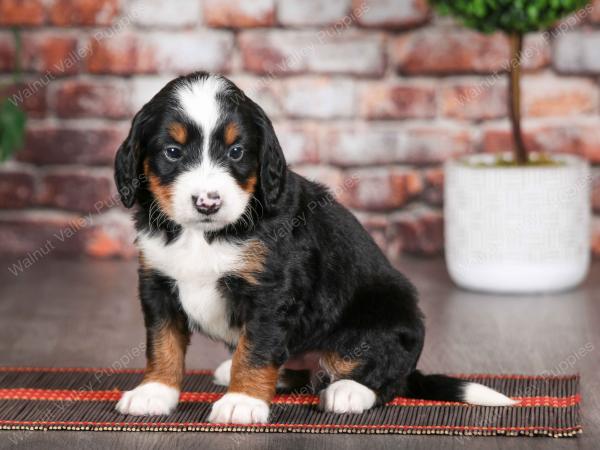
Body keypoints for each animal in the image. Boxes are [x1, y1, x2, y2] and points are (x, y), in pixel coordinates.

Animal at [113, 72, 516, 424]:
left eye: (237, 151)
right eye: (172, 152)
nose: (208, 202)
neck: (204, 234)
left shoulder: (271, 291)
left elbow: (256, 349)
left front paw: (242, 401)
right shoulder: (157, 282)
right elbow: (163, 344)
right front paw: (155, 391)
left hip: (385, 316)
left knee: (386, 376)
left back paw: (347, 391)